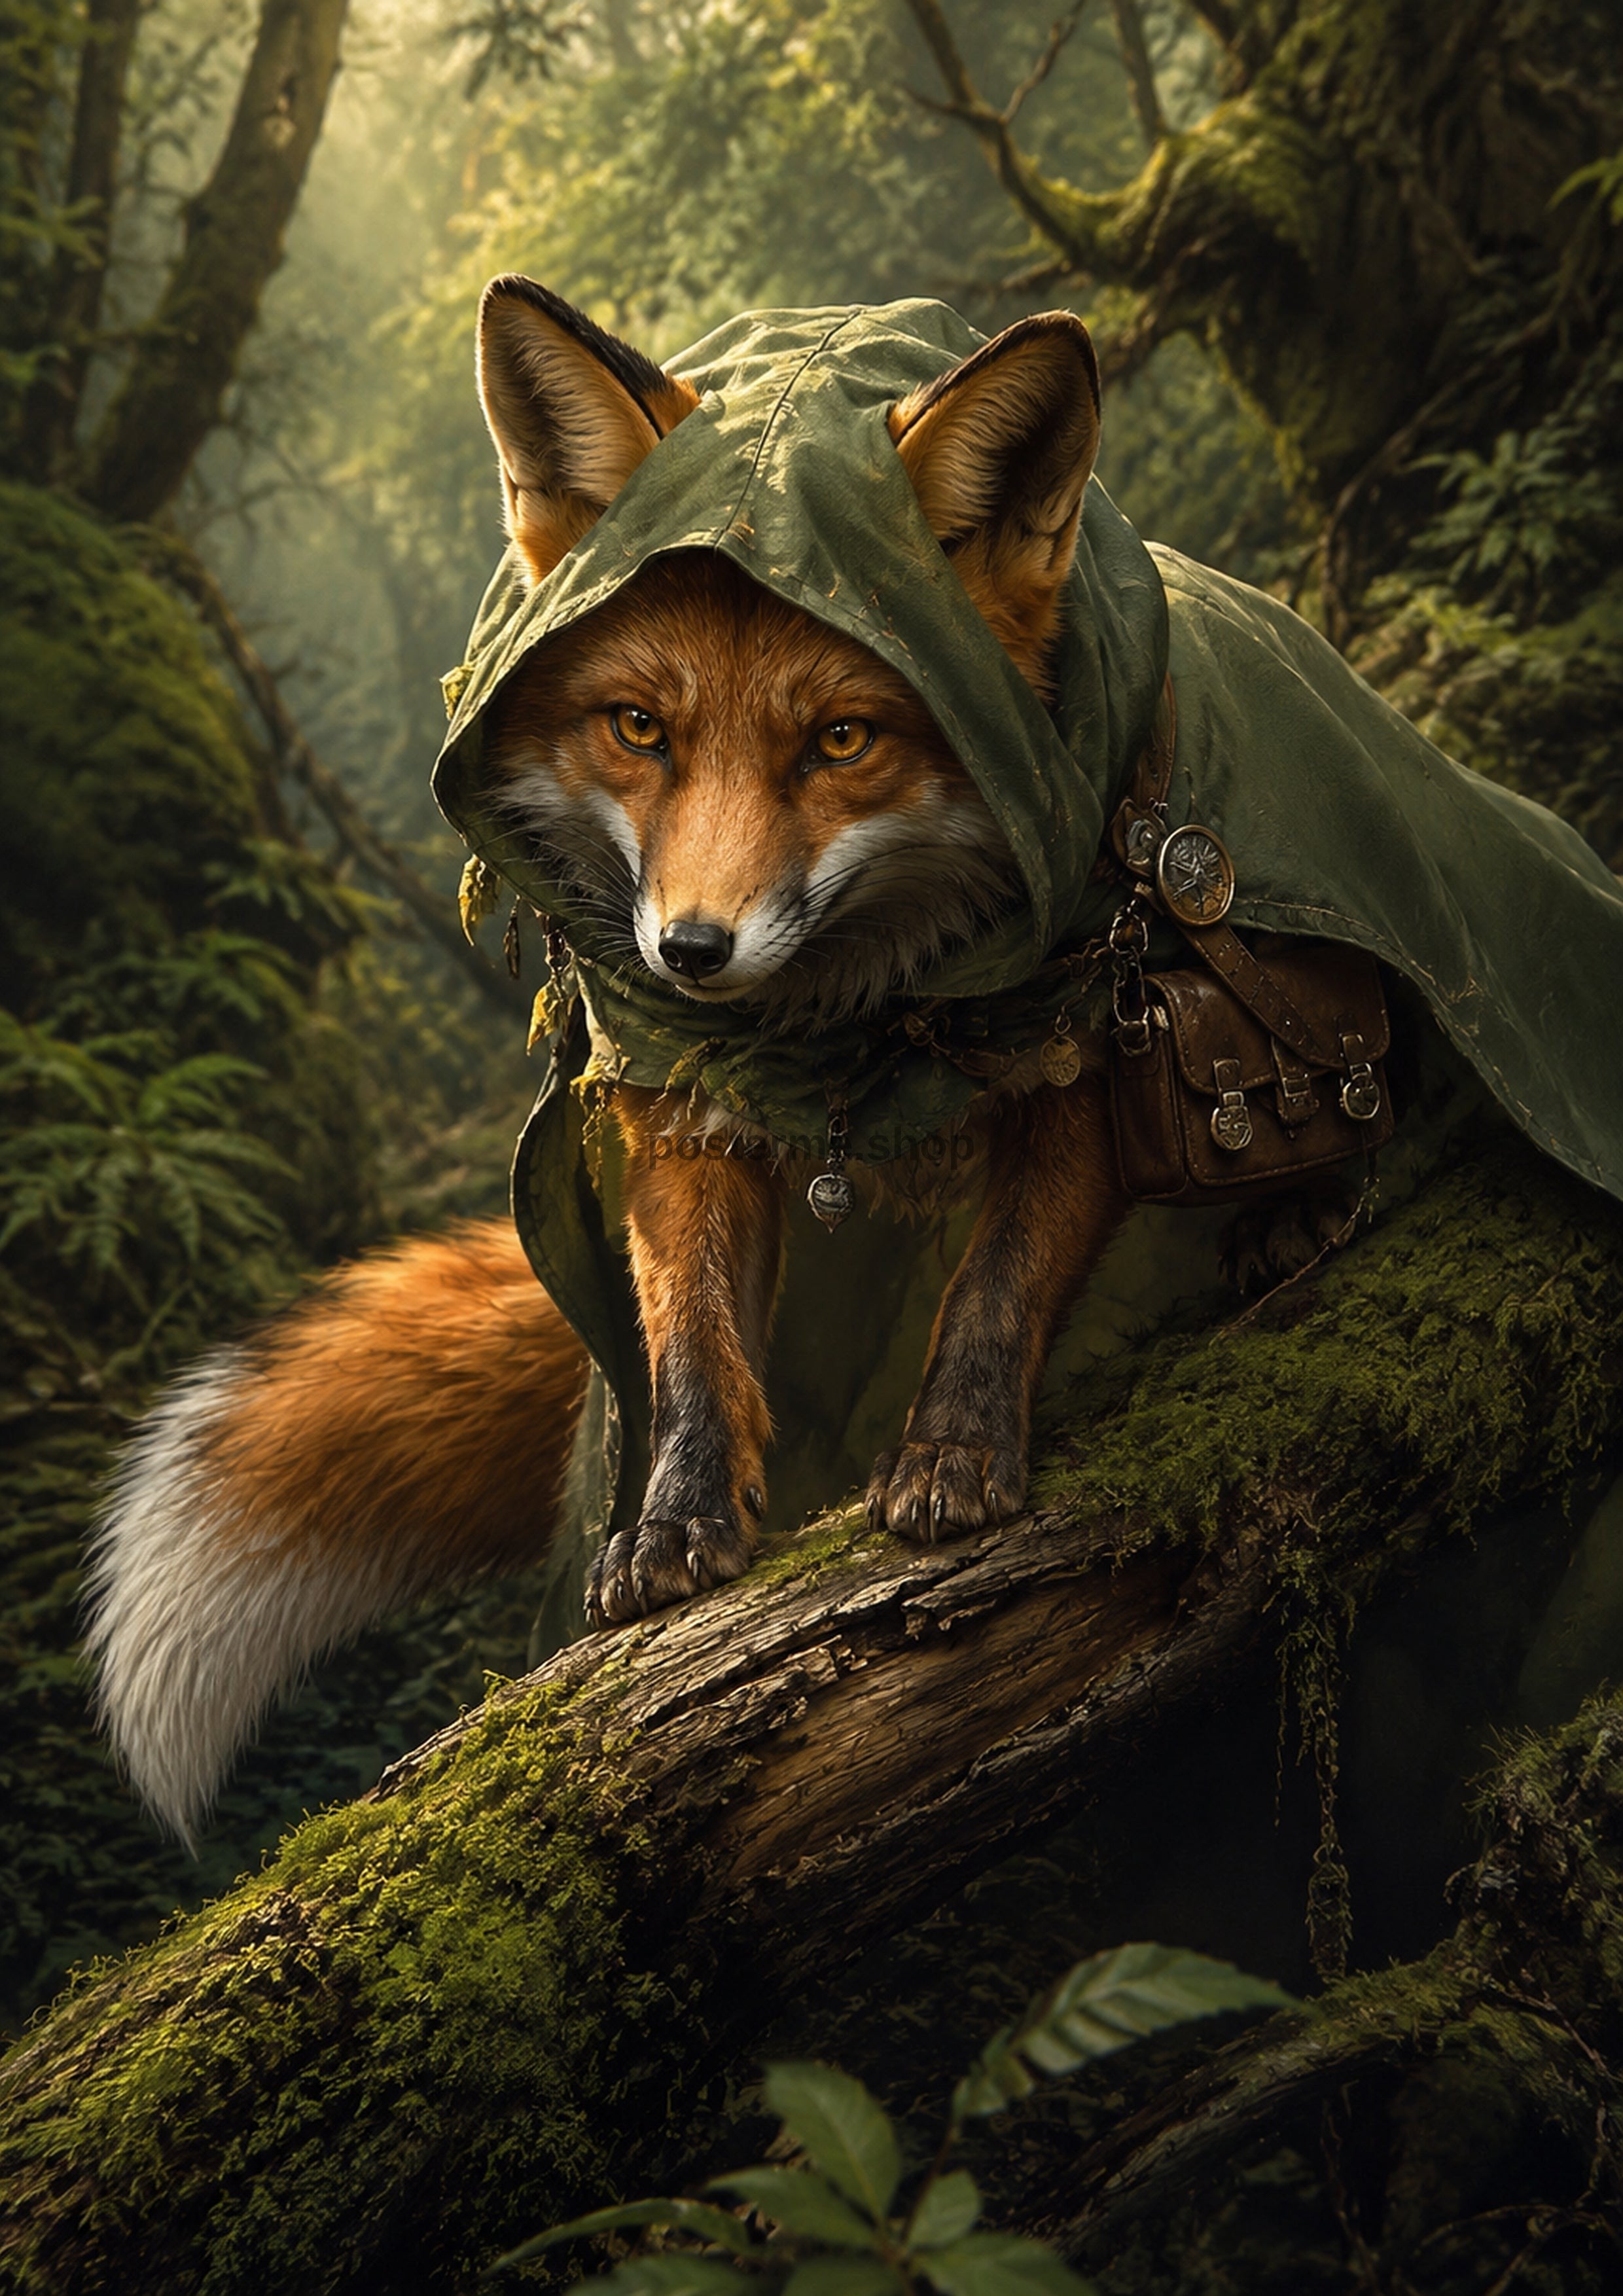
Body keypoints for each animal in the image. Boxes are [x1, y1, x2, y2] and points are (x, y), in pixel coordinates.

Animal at [87, 282, 1135, 1845]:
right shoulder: (682, 1111)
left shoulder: (1093, 1050)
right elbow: (690, 1338)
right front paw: (674, 1526)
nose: (689, 951)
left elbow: (998, 1278)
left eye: (843, 741)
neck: (852, 1025)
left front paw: (953, 1453)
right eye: (639, 728)